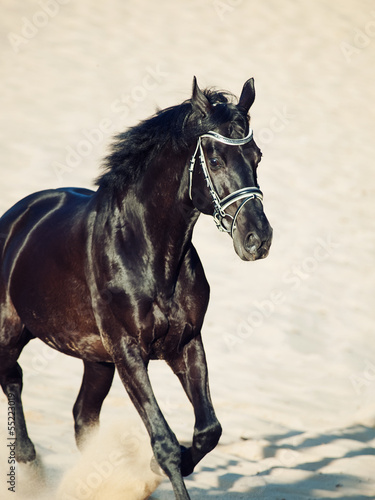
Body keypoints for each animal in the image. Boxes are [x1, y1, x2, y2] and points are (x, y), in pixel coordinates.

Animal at [0, 76, 274, 498]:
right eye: (214, 160)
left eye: (257, 156)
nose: (258, 239)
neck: (149, 255)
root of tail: (15, 218)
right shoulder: (128, 351)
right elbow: (164, 443)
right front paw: (155, 468)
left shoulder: (186, 343)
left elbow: (208, 431)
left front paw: (155, 468)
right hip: (10, 332)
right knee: (12, 377)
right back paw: (32, 465)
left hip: (95, 360)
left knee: (82, 416)